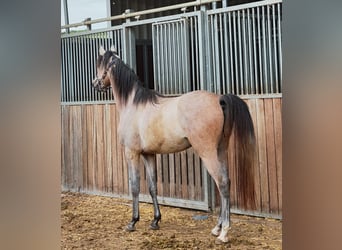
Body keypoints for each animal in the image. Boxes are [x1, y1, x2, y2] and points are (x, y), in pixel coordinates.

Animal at [92, 46, 255, 243]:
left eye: (99, 64)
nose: (95, 84)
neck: (133, 104)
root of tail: (218, 99)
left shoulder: (131, 152)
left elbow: (135, 186)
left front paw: (132, 222)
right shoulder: (148, 154)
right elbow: (153, 187)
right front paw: (155, 221)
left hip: (207, 152)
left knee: (222, 183)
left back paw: (223, 232)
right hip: (220, 150)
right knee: (226, 181)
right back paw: (217, 228)